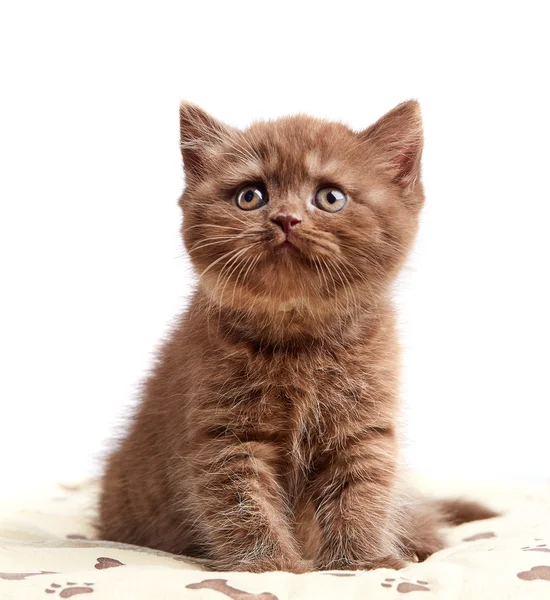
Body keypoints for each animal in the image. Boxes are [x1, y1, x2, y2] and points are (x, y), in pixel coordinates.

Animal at [99, 102, 500, 572]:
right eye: (250, 196)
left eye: (330, 197)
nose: (286, 219)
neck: (299, 339)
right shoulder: (226, 436)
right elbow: (243, 504)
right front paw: (272, 566)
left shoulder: (362, 429)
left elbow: (361, 494)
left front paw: (362, 562)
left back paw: (419, 543)